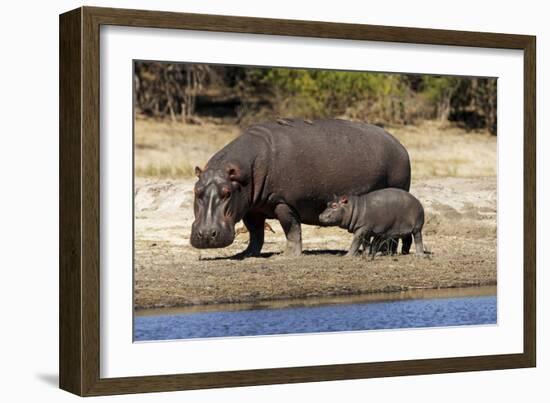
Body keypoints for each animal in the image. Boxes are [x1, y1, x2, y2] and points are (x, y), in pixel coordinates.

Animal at [190, 120, 410, 258]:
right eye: (196, 191)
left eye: (227, 193)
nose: (206, 234)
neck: (242, 173)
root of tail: (400, 145)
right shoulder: (251, 208)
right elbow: (255, 233)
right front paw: (247, 254)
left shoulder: (283, 202)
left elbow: (291, 229)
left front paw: (288, 255)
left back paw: (385, 252)